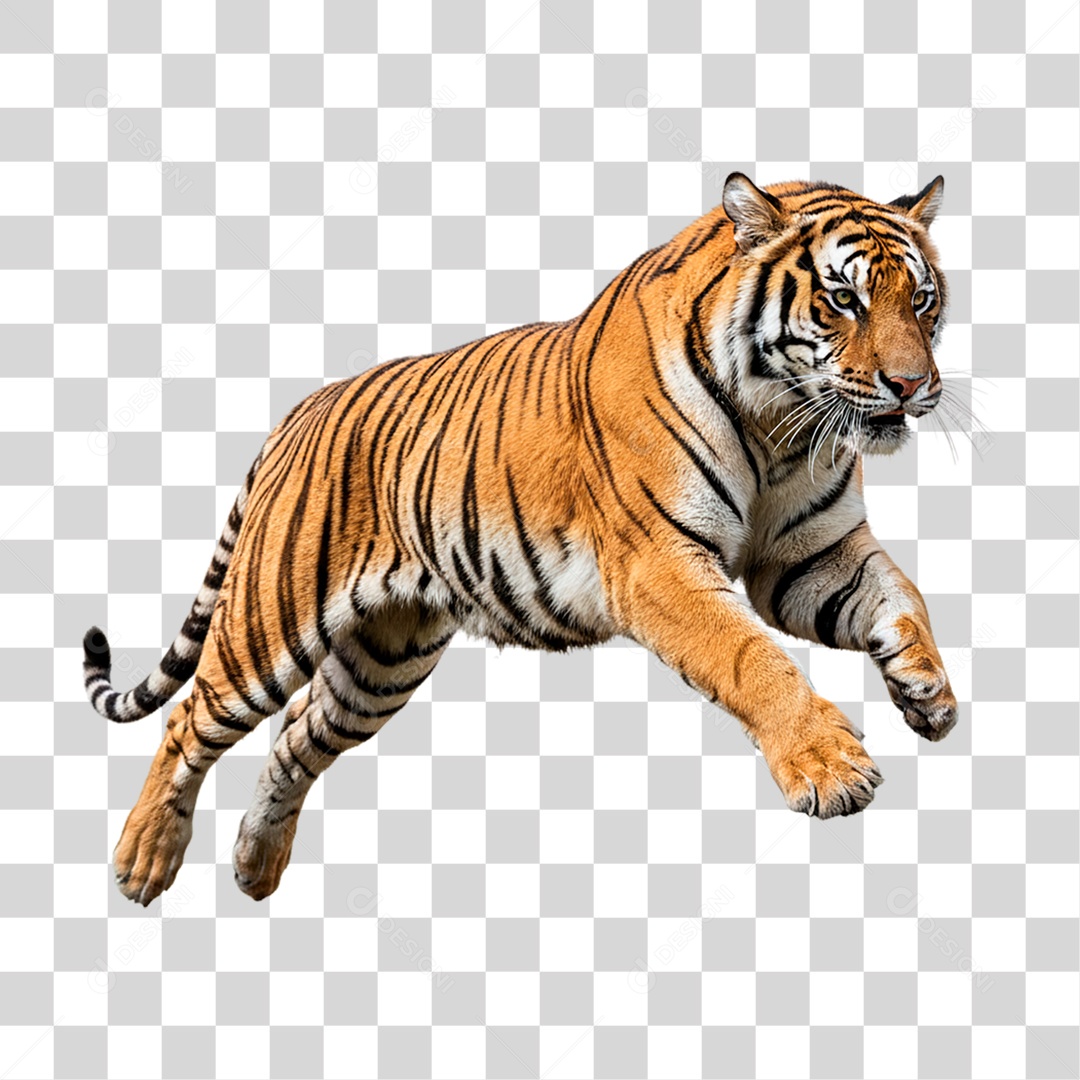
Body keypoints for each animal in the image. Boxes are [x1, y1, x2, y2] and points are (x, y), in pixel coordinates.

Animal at [83, 173, 957, 906]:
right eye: (843, 299)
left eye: (921, 300)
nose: (914, 386)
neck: (782, 423)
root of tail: (301, 410)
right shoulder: (659, 565)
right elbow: (752, 658)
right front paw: (831, 769)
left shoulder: (806, 558)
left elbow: (901, 595)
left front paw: (927, 692)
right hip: (268, 620)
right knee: (188, 721)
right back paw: (141, 862)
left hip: (382, 660)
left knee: (296, 737)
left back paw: (255, 866)